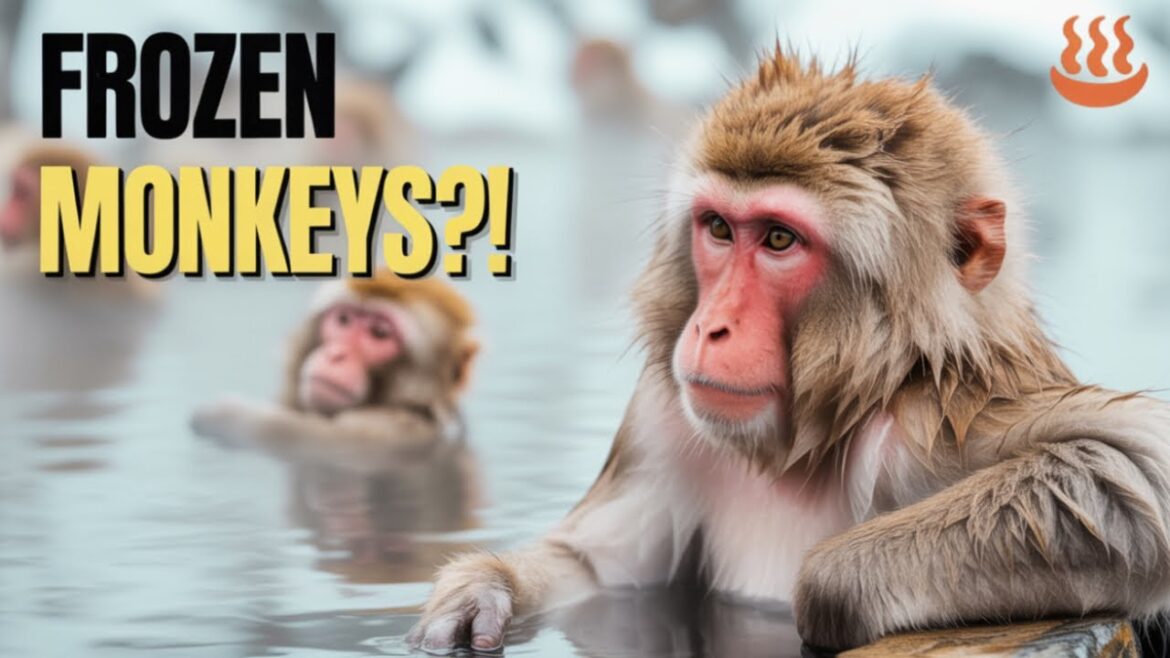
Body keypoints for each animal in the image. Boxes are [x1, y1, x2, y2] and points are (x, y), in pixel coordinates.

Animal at [408, 48, 1170, 653]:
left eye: (778, 239)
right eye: (719, 228)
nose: (711, 326)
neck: (803, 443)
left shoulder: (928, 416)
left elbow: (1135, 462)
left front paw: (831, 583)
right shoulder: (664, 417)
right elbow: (604, 573)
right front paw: (481, 590)